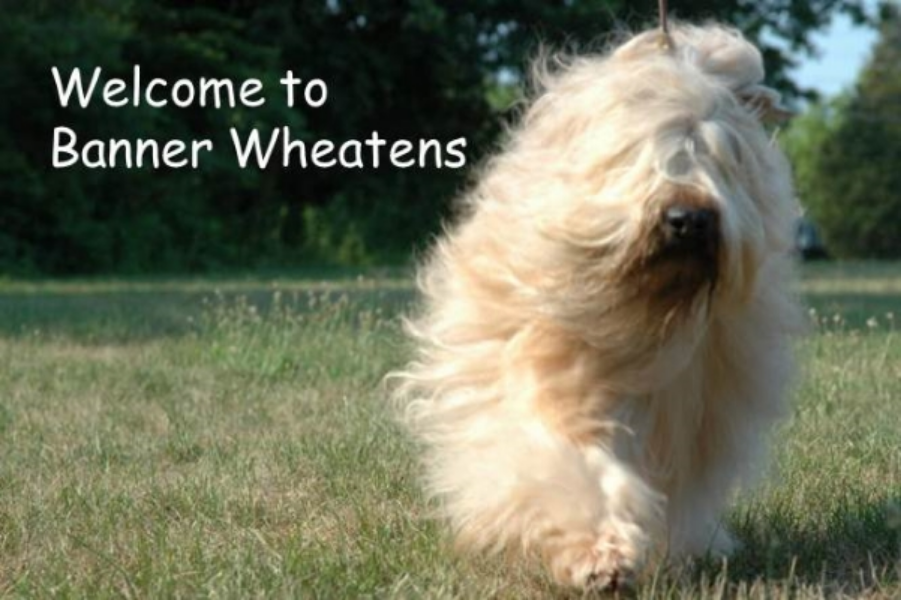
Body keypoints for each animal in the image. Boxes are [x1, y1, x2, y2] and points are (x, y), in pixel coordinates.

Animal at [394, 22, 800, 592]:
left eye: (720, 158)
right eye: (646, 153)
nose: (689, 219)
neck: (638, 310)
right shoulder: (540, 369)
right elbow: (568, 463)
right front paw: (600, 554)